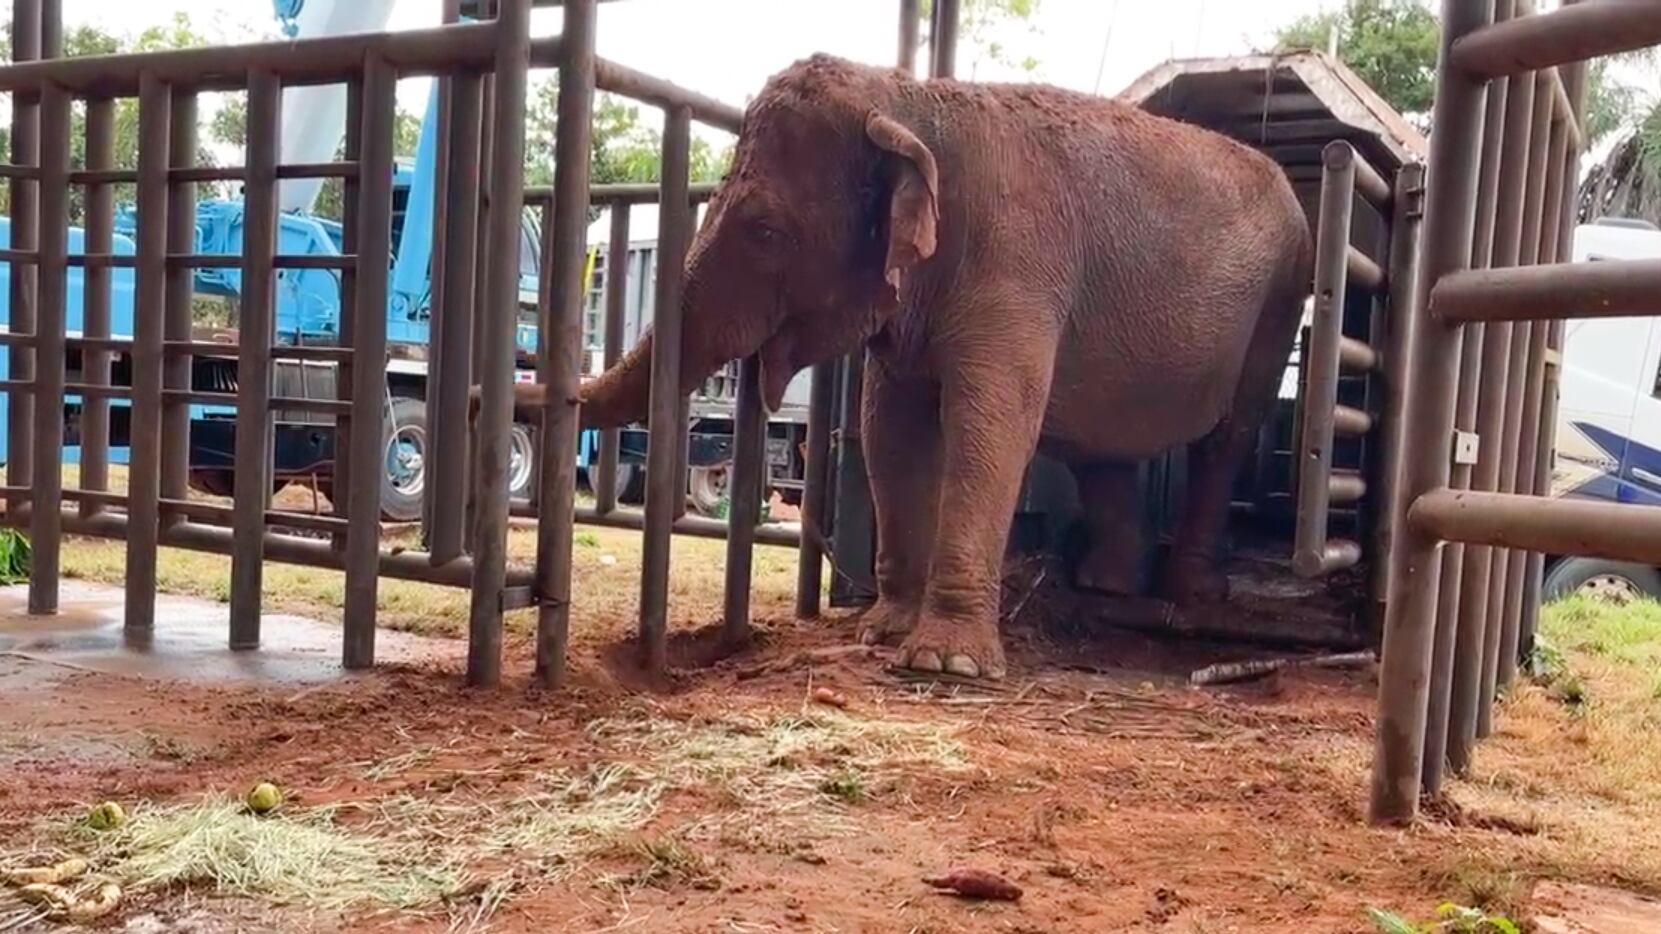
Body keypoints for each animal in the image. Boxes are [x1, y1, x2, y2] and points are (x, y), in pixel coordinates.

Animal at [571, 52, 1308, 674]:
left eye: (766, 231)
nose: (559, 392)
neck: (909, 100)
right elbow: (888, 428)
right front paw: (882, 631)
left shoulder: (1017, 264)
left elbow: (990, 426)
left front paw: (943, 663)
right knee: (1106, 450)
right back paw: (1109, 584)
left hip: (1280, 302)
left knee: (1226, 438)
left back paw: (1192, 593)